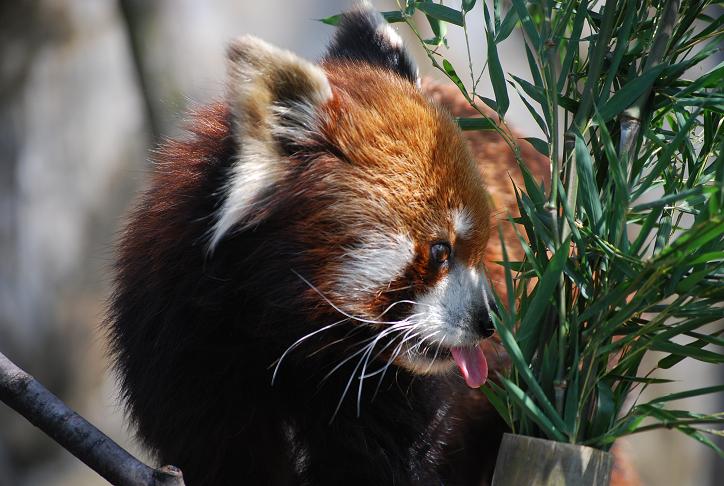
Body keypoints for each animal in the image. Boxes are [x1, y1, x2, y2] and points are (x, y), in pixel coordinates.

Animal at [107, 4, 544, 486]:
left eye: (480, 247)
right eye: (440, 251)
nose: (489, 321)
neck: (281, 330)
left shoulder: (388, 389)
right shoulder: (180, 343)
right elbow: (223, 454)